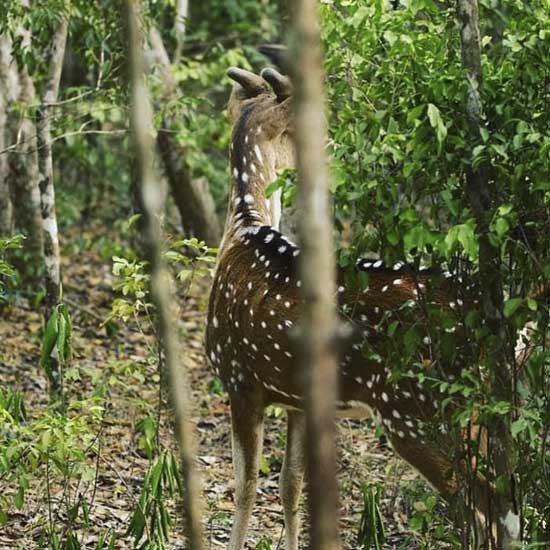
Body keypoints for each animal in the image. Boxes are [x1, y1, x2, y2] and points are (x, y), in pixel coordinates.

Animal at [207, 67, 520, 548]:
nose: (328, 154)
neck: (240, 234)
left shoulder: (239, 377)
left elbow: (246, 488)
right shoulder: (287, 395)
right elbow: (288, 486)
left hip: (416, 412)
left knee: (486, 505)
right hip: (480, 417)